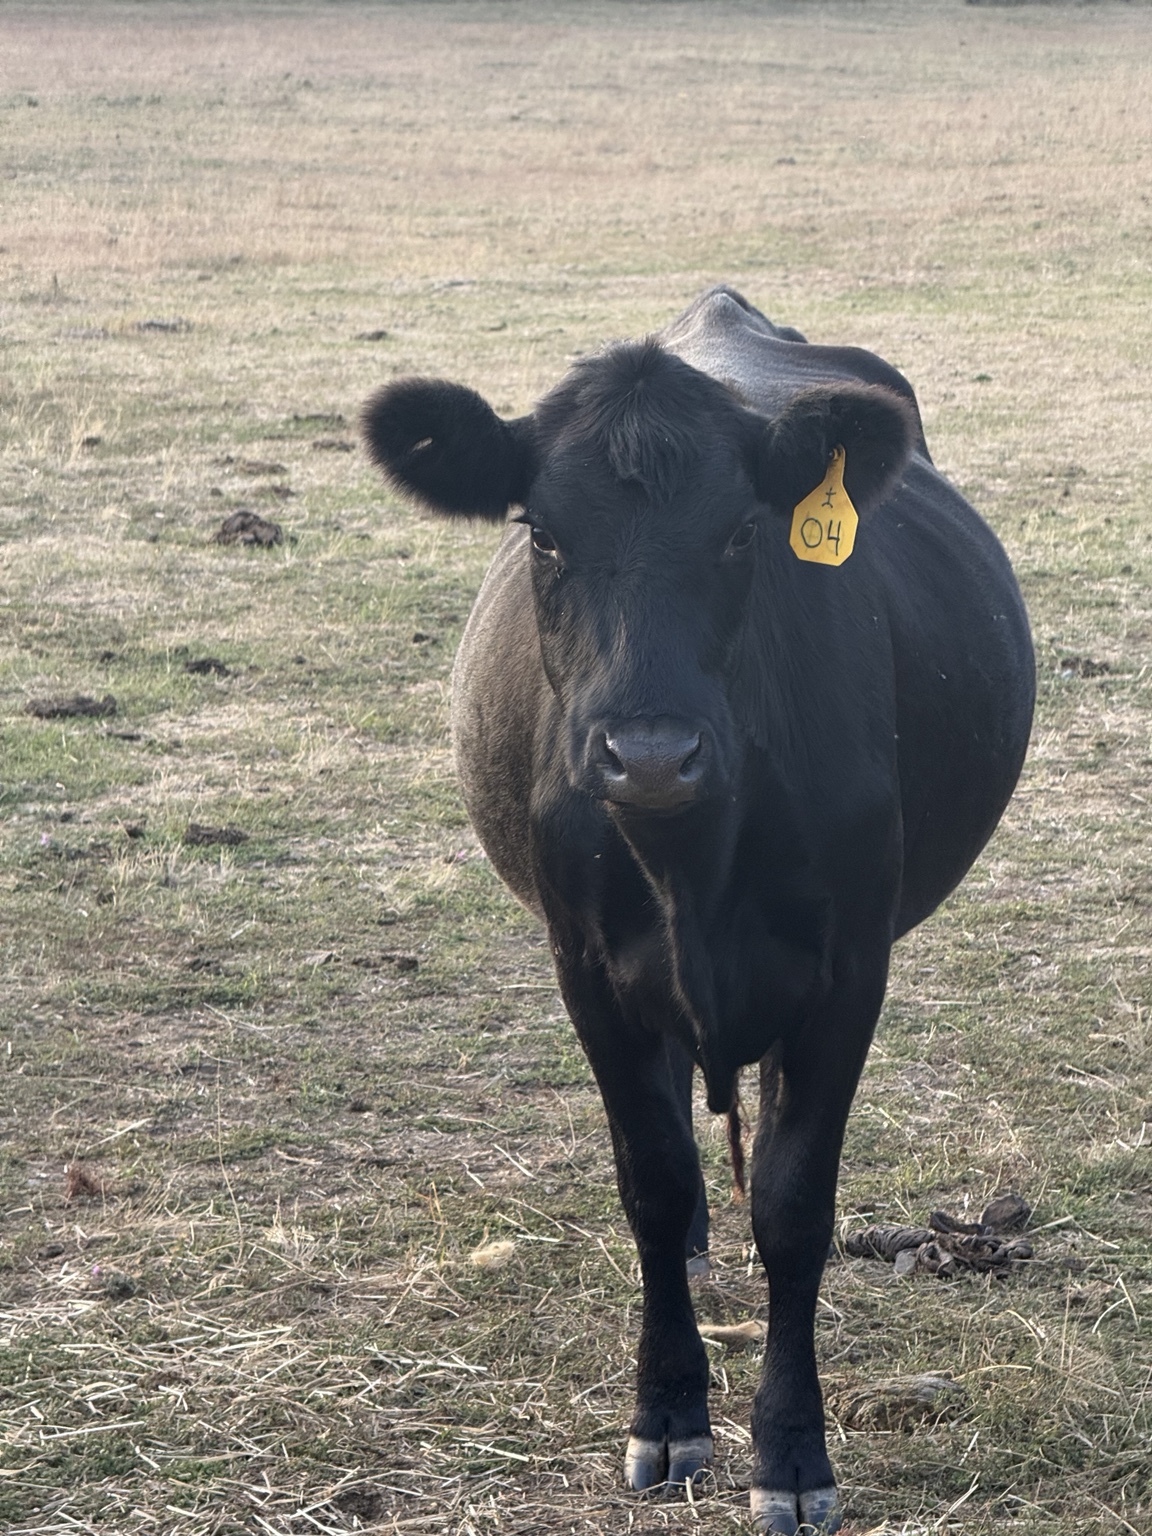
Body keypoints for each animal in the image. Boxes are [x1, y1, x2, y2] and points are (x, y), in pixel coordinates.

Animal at [361, 287, 1035, 1534]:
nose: (649, 755)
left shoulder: (849, 971)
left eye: (740, 533)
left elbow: (795, 1205)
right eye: (543, 533)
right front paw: (668, 1411)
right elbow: (654, 1180)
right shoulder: (584, 965)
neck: (693, 858)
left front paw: (791, 1453)